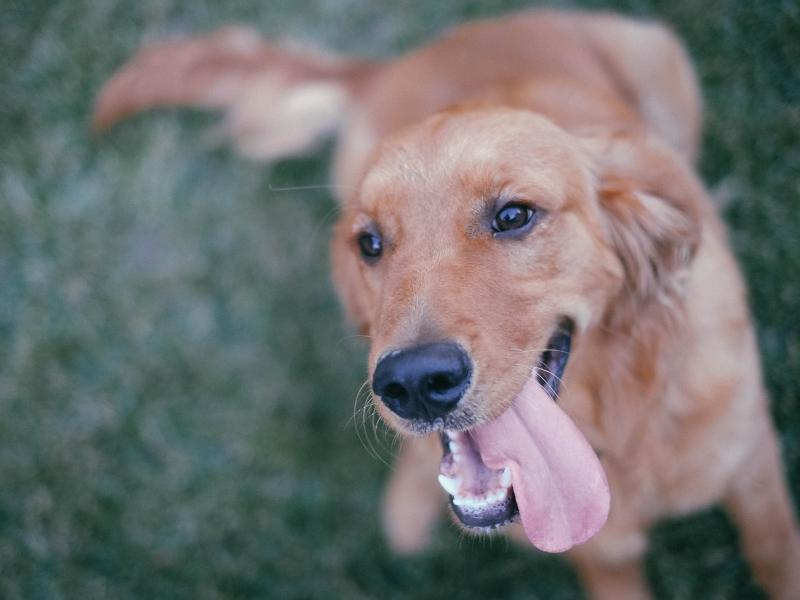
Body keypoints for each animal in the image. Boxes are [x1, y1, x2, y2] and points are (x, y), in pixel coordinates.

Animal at [95, 10, 800, 600]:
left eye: (514, 215)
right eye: (370, 242)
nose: (412, 383)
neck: (616, 426)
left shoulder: (753, 461)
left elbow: (775, 551)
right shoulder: (597, 552)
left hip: (658, 55)